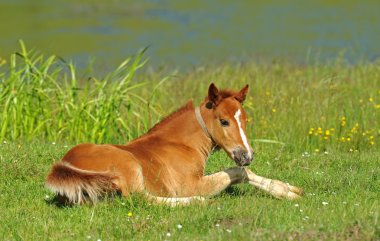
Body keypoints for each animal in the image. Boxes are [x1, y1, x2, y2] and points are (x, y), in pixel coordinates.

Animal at [46, 83, 304, 205]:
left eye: (246, 120)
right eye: (224, 121)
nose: (247, 155)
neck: (182, 144)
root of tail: (64, 167)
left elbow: (245, 173)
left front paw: (289, 190)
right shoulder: (192, 184)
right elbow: (237, 173)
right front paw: (286, 192)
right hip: (129, 167)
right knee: (141, 199)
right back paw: (196, 202)